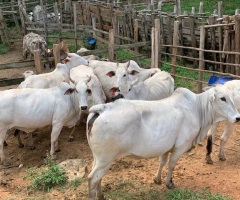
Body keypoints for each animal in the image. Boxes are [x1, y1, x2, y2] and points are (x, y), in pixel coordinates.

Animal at [86, 85, 240, 198]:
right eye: (223, 98)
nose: (237, 117)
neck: (198, 108)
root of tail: (102, 108)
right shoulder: (180, 146)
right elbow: (171, 165)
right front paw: (169, 183)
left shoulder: (166, 146)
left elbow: (162, 162)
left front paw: (157, 179)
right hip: (106, 159)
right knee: (92, 179)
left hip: (98, 158)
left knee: (97, 178)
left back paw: (101, 195)